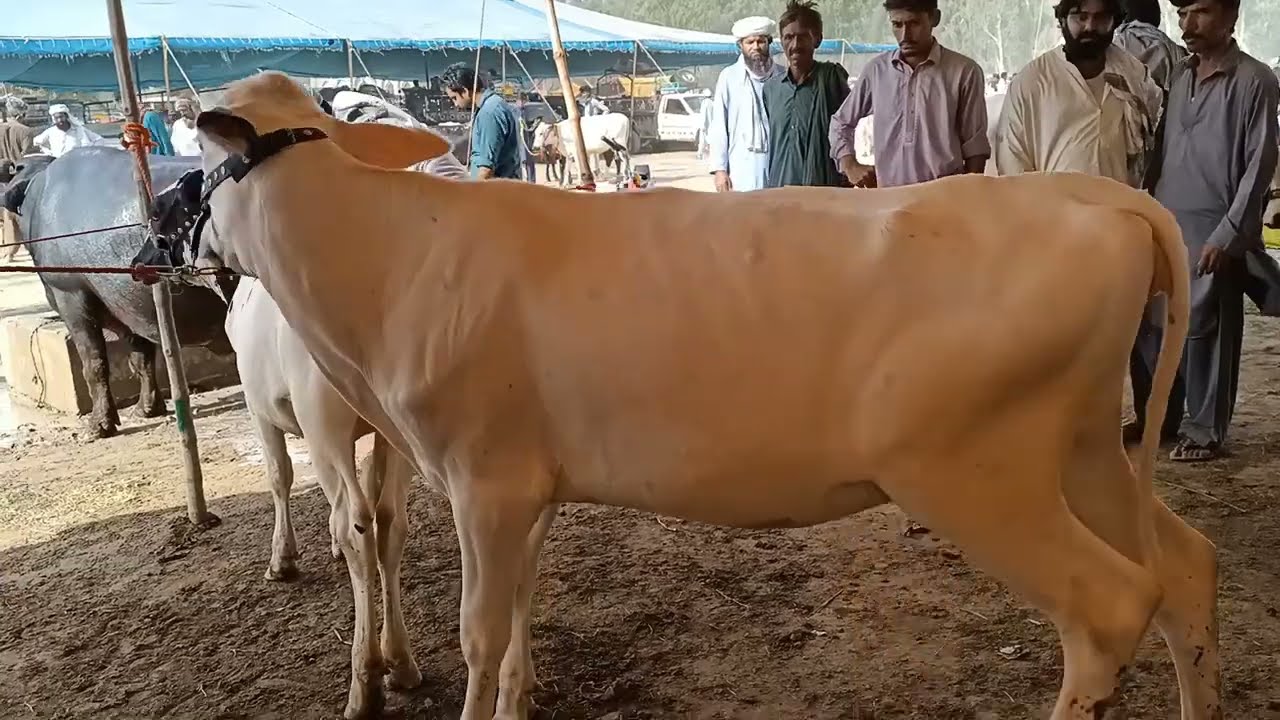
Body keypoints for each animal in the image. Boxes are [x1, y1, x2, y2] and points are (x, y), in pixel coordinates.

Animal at [1, 147, 236, 438]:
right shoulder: (131, 308)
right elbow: (141, 360)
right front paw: (146, 409)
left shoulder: (70, 296)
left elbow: (94, 363)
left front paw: (99, 426)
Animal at [186, 72, 1216, 720]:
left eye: (199, 156)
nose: (185, 246)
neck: (388, 262)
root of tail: (1095, 195)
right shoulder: (528, 488)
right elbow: (517, 621)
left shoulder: (484, 478)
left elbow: (482, 636)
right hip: (1082, 445)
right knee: (1184, 566)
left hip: (975, 467)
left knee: (1111, 606)